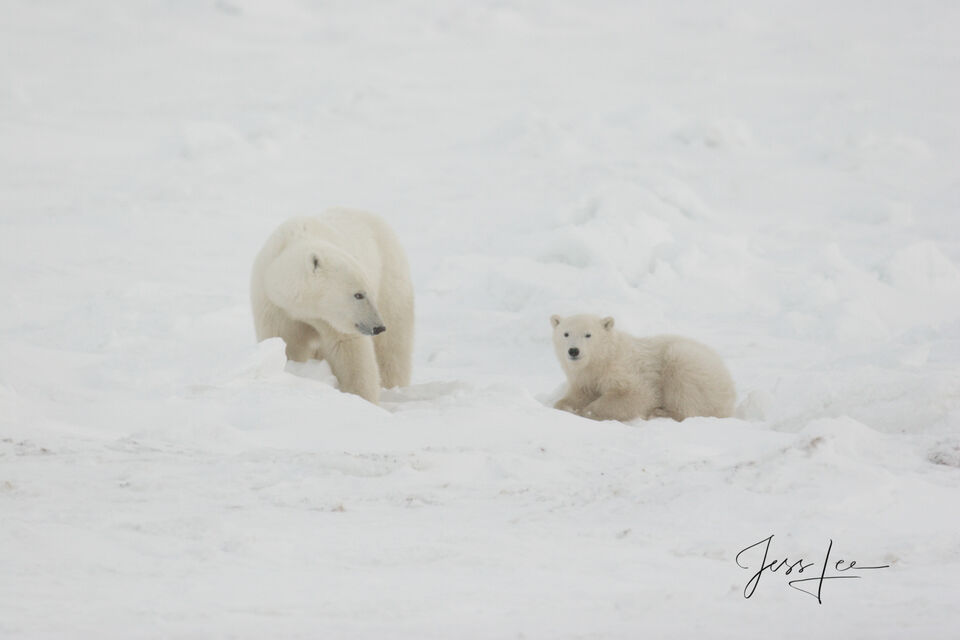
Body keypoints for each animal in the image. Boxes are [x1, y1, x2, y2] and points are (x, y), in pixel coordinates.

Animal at [250, 209, 414, 404]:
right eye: (358, 294)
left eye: (368, 292)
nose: (378, 327)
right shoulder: (275, 308)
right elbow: (287, 345)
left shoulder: (334, 320)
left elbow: (350, 352)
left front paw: (361, 398)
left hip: (389, 275)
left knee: (393, 346)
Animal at [550, 314, 735, 422]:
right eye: (566, 333)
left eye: (588, 334)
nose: (574, 350)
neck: (603, 359)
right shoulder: (585, 378)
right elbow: (579, 395)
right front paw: (565, 406)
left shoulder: (625, 368)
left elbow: (639, 394)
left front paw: (587, 412)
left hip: (692, 365)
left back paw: (660, 412)